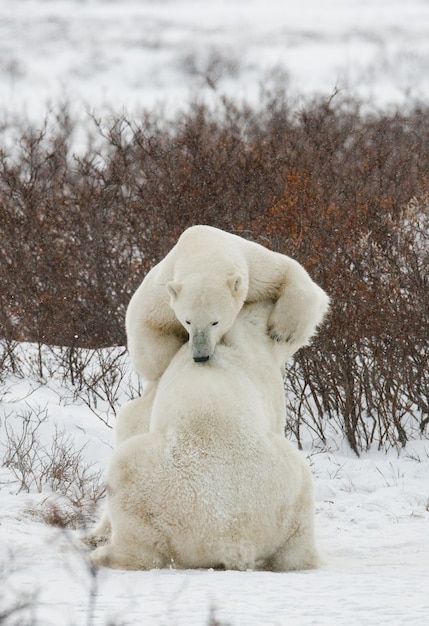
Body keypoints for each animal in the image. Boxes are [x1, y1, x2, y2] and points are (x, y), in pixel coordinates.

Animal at [89, 302, 318, 572]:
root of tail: (234, 542)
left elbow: (132, 414)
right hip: (294, 489)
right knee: (296, 548)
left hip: (159, 490)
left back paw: (104, 554)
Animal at [125, 224, 330, 380]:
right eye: (187, 321)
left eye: (215, 322)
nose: (200, 356)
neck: (203, 248)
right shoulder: (160, 297)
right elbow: (148, 338)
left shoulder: (253, 271)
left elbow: (289, 270)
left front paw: (282, 332)